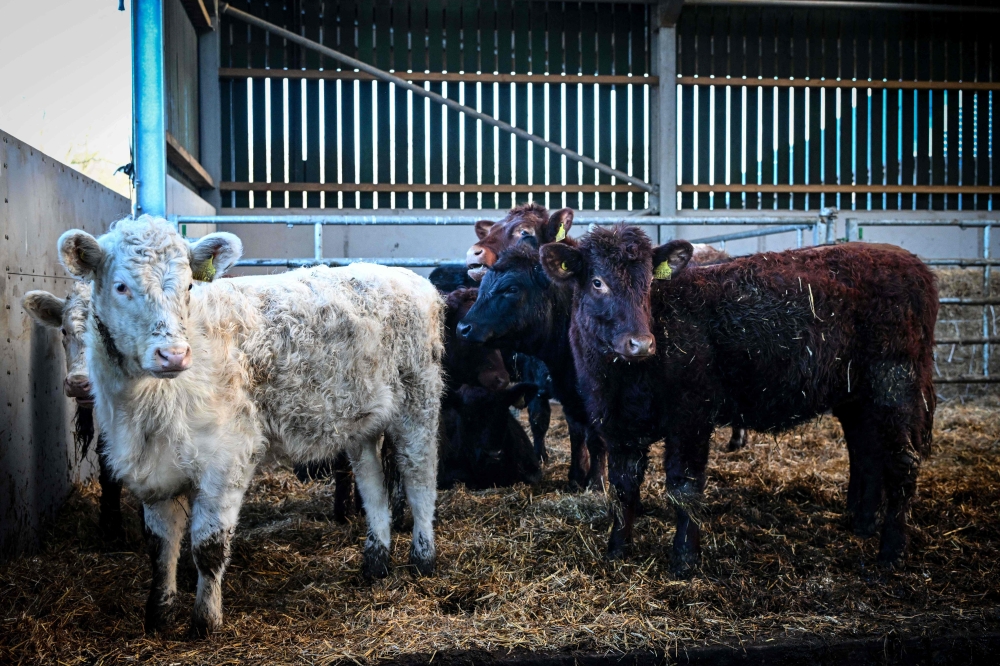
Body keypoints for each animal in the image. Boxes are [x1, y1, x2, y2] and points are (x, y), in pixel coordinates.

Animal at [57, 215, 444, 637]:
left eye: (189, 285)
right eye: (121, 286)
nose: (173, 354)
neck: (143, 407)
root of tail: (403, 276)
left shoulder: (227, 456)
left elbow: (208, 547)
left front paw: (205, 623)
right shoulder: (154, 469)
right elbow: (160, 548)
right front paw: (158, 617)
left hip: (418, 400)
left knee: (419, 478)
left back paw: (423, 559)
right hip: (363, 420)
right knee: (373, 484)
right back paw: (375, 563)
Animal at [540, 225, 938, 574]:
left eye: (649, 281)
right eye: (597, 282)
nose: (640, 343)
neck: (622, 378)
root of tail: (913, 264)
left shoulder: (691, 415)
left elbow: (684, 486)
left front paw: (685, 559)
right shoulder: (618, 423)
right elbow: (623, 488)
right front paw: (617, 549)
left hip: (895, 385)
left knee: (902, 461)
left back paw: (891, 553)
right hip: (858, 397)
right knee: (866, 451)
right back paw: (862, 523)